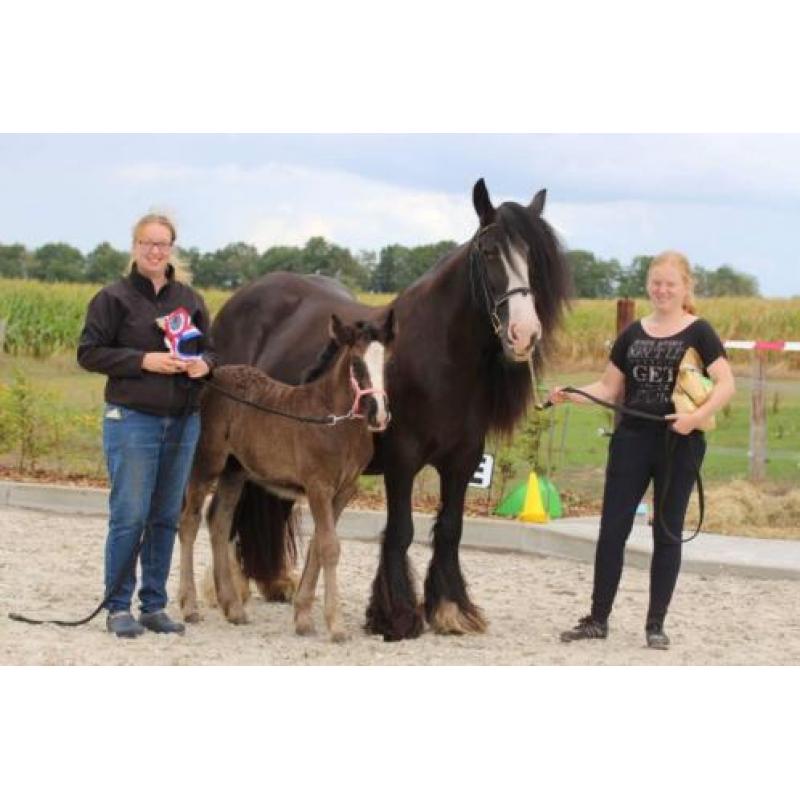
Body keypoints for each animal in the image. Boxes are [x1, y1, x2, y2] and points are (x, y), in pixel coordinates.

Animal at [206, 178, 568, 640]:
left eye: (532, 259)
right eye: (488, 251)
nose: (525, 334)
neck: (438, 357)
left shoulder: (463, 461)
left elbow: (450, 529)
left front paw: (450, 609)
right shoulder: (402, 461)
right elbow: (400, 531)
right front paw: (396, 615)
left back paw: (272, 583)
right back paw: (229, 589)